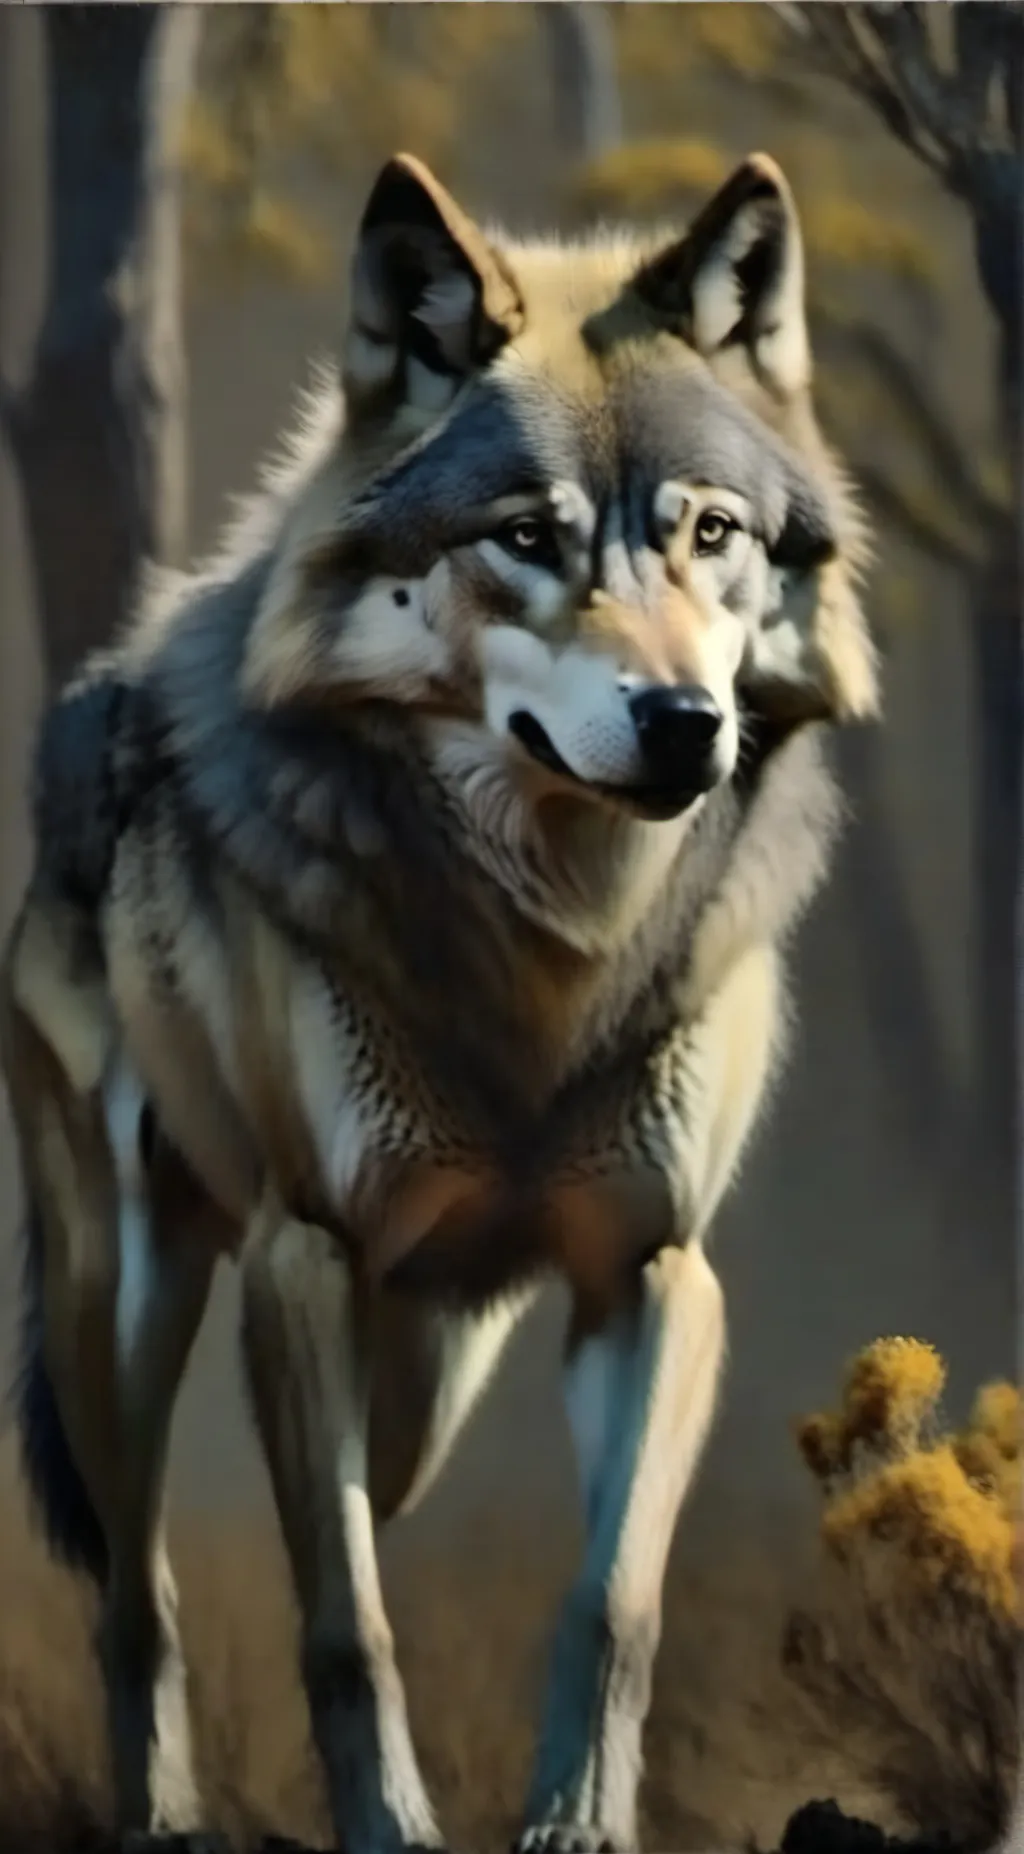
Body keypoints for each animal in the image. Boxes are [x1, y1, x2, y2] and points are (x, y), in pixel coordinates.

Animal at [1, 150, 877, 1854]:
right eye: (526, 536)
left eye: (711, 531)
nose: (686, 721)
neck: (549, 954)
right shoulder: (306, 1256)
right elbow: (348, 1622)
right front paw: (393, 1829)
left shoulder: (653, 1276)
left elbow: (613, 1602)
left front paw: (579, 1825)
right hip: (121, 1313)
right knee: (135, 1586)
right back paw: (161, 1813)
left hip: (427, 1369)